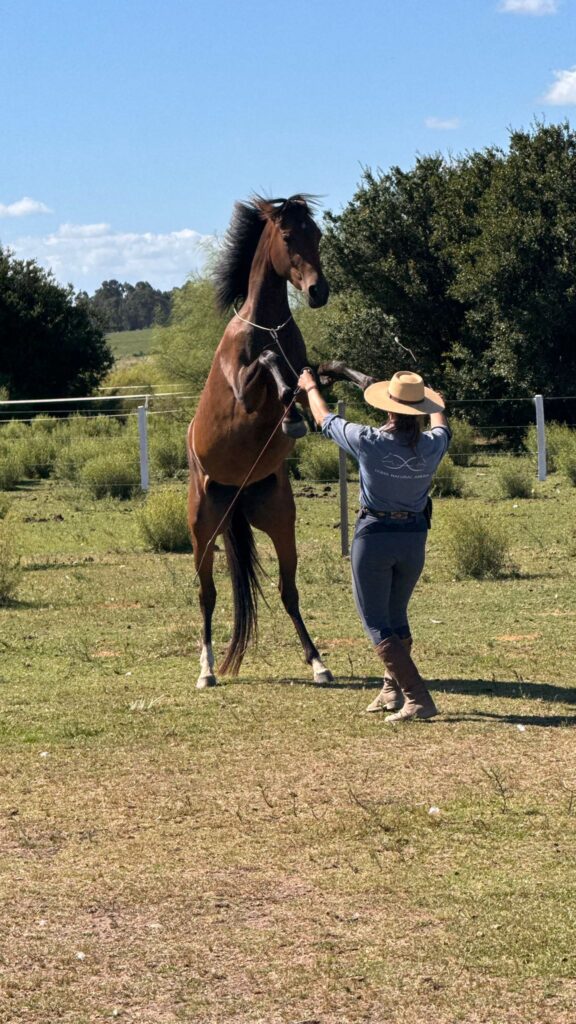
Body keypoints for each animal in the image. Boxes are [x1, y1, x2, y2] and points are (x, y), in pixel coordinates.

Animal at [187, 194, 374, 689]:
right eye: (288, 236)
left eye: (318, 234)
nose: (318, 292)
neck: (264, 325)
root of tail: (233, 496)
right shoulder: (244, 395)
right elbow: (272, 366)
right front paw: (291, 417)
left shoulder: (309, 375)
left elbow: (324, 368)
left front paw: (366, 380)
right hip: (202, 532)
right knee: (207, 595)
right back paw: (206, 670)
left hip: (279, 521)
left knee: (288, 591)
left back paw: (319, 663)